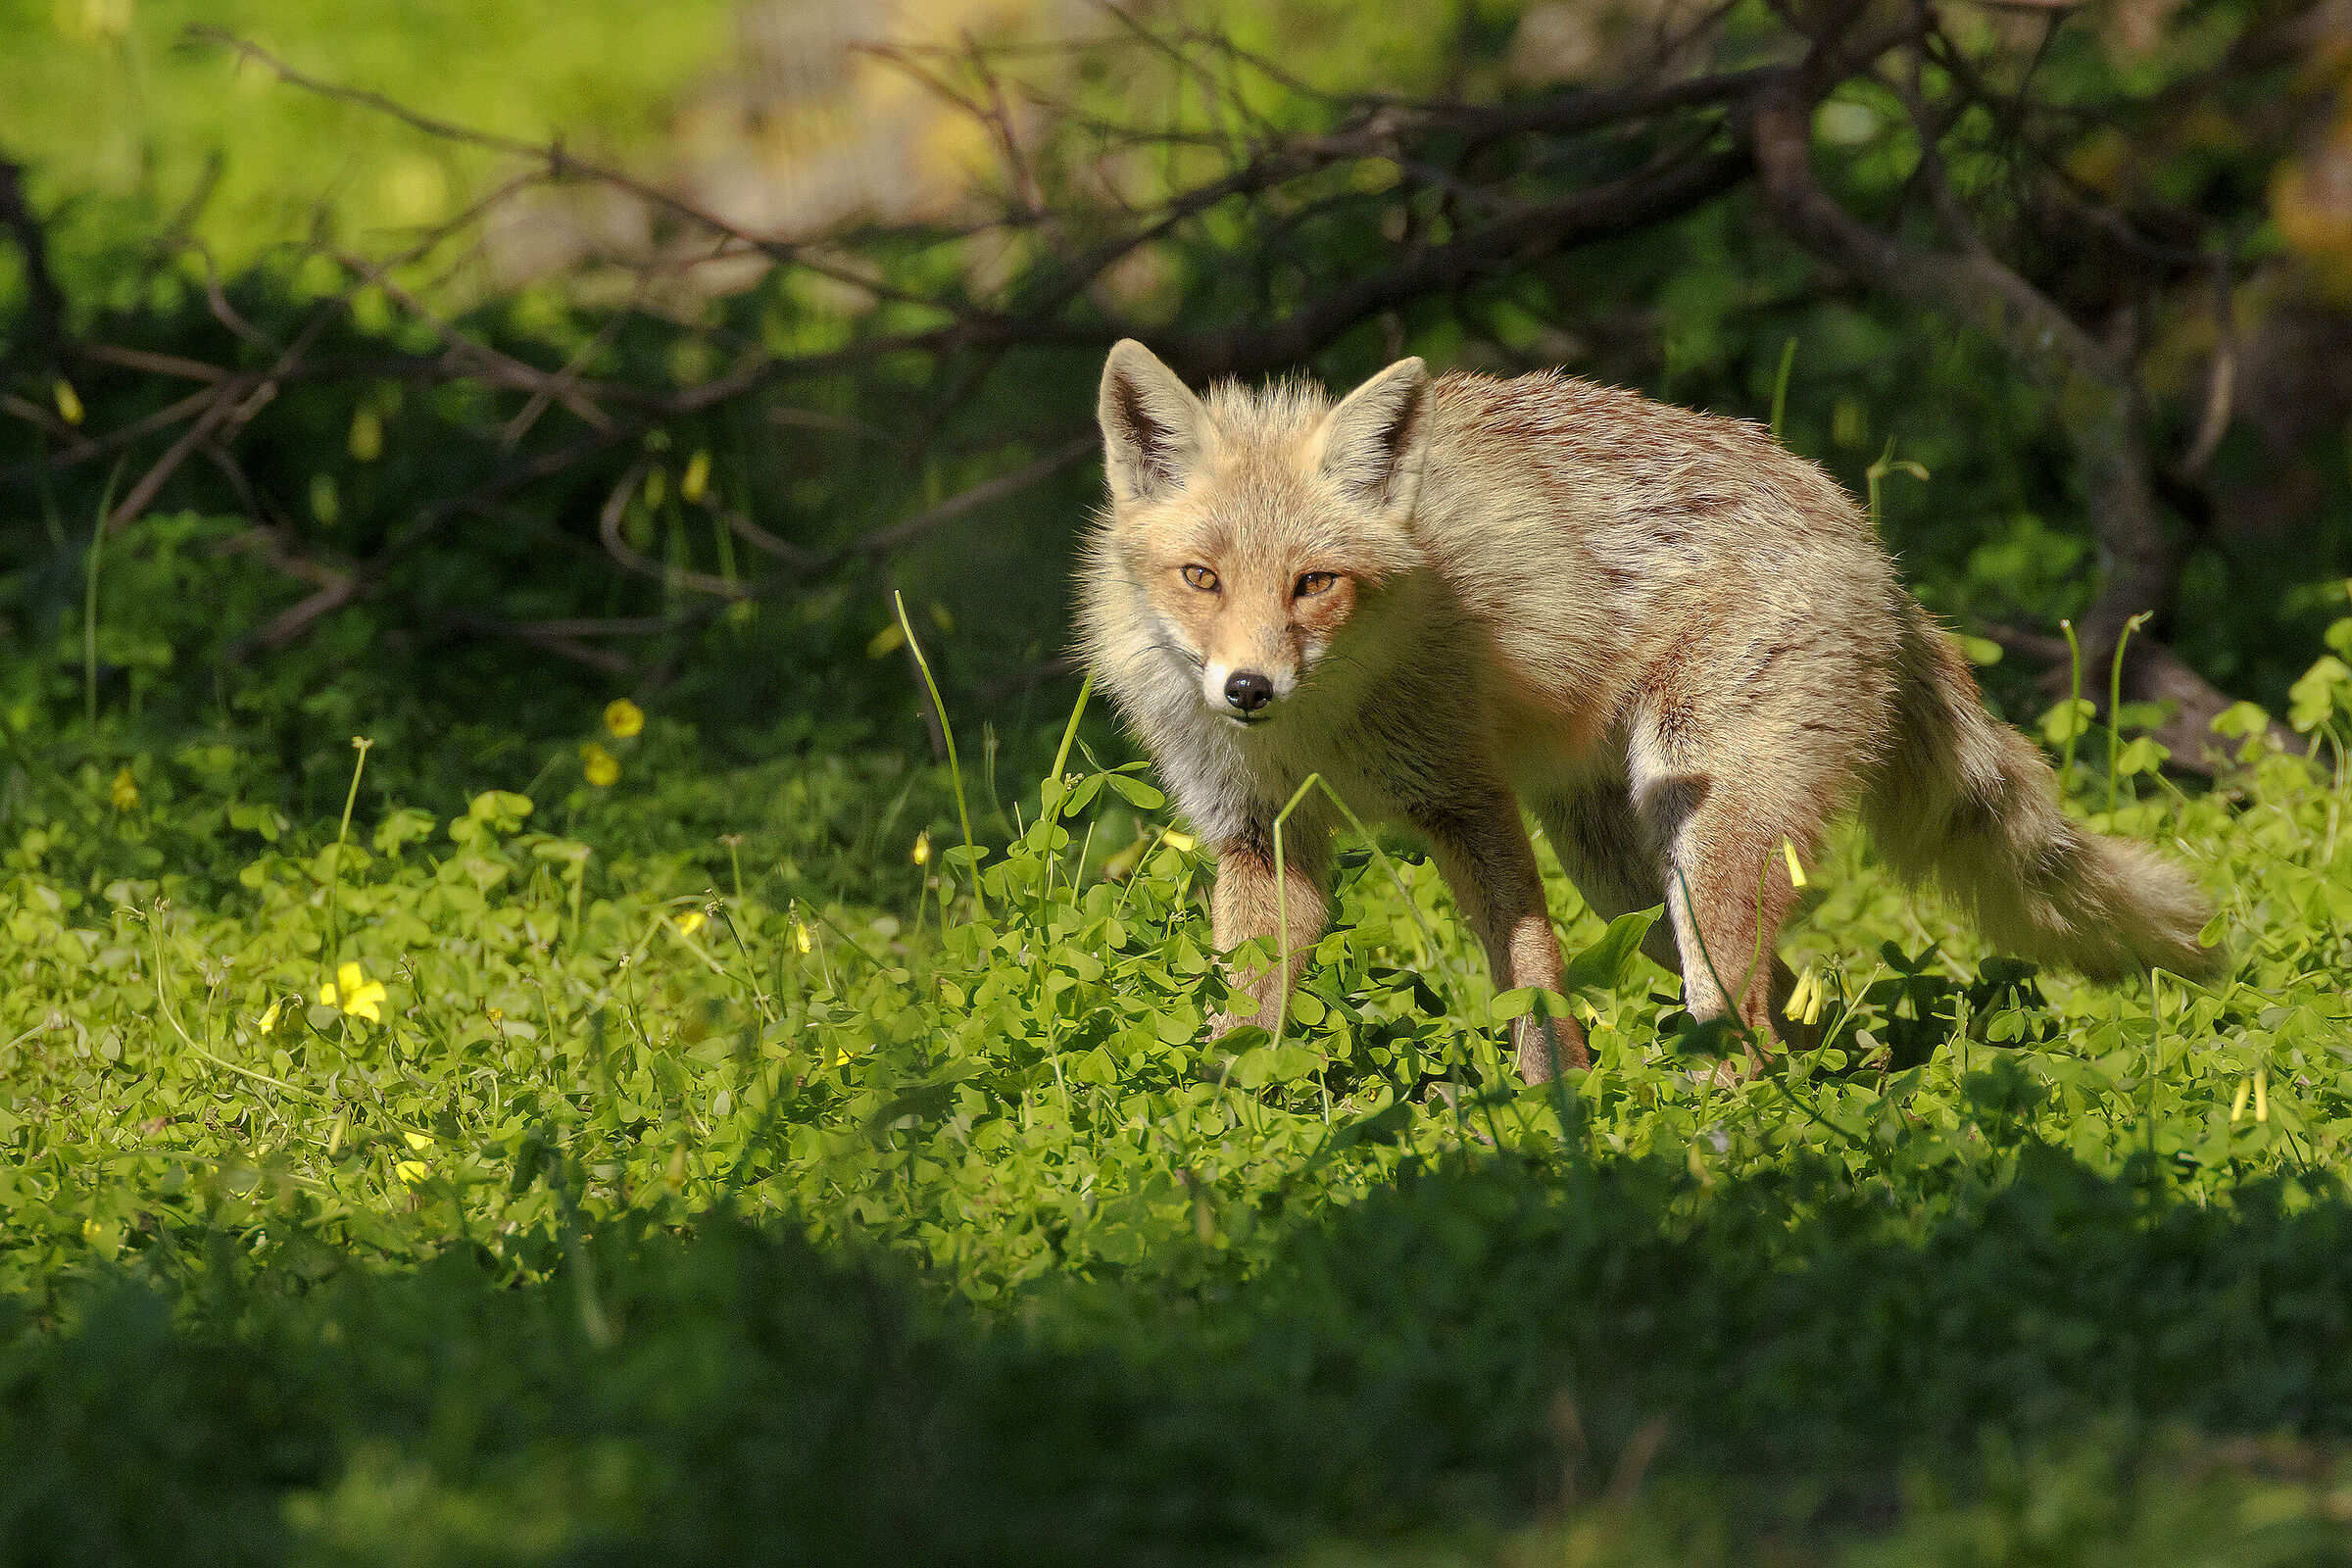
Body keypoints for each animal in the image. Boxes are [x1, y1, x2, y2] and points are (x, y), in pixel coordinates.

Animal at [1076, 338, 2221, 1081]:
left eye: (1315, 584)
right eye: (1201, 578)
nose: (1249, 689)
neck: (1318, 733)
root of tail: (1870, 544)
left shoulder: (1465, 799)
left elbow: (1531, 979)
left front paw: (1557, 1108)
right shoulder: (1259, 834)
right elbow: (1249, 1006)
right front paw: (1228, 1113)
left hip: (1702, 838)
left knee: (1745, 1011)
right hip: (1627, 873)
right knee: (1790, 1001)